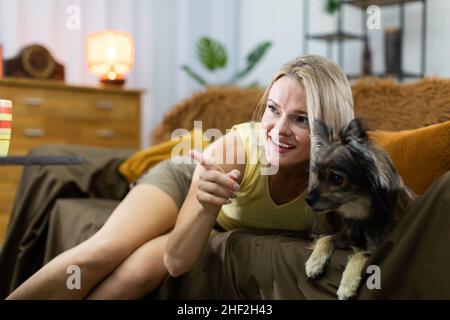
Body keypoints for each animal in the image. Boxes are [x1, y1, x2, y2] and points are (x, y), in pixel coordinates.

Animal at [304, 117, 416, 300]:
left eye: (336, 179)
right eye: (318, 176)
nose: (307, 199)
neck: (362, 211)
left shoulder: (378, 248)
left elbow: (358, 254)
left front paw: (347, 285)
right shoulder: (349, 235)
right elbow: (325, 238)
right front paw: (314, 263)